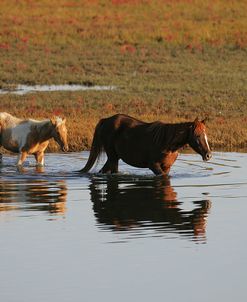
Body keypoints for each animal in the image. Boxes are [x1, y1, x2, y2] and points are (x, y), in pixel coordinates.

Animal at [79, 113, 212, 175]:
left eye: (206, 135)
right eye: (198, 135)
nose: (208, 155)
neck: (167, 144)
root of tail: (106, 120)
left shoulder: (167, 167)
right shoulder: (153, 165)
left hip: (114, 157)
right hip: (113, 157)